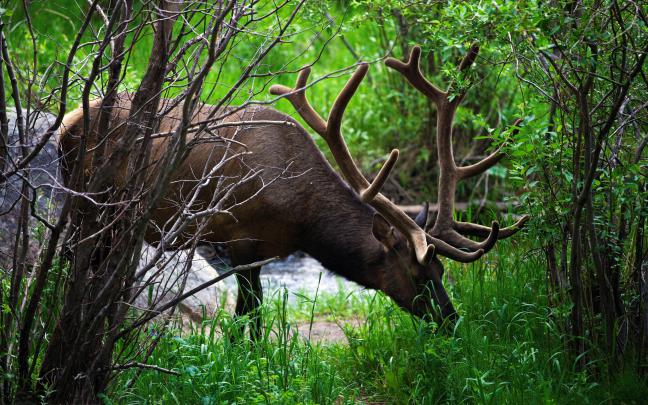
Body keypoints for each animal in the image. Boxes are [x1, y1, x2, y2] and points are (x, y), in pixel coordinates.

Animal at [58, 43, 527, 338]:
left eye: (442, 272)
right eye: (418, 274)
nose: (452, 321)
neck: (302, 218)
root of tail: (68, 121)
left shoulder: (265, 249)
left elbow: (253, 313)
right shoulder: (239, 236)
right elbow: (250, 314)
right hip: (90, 204)